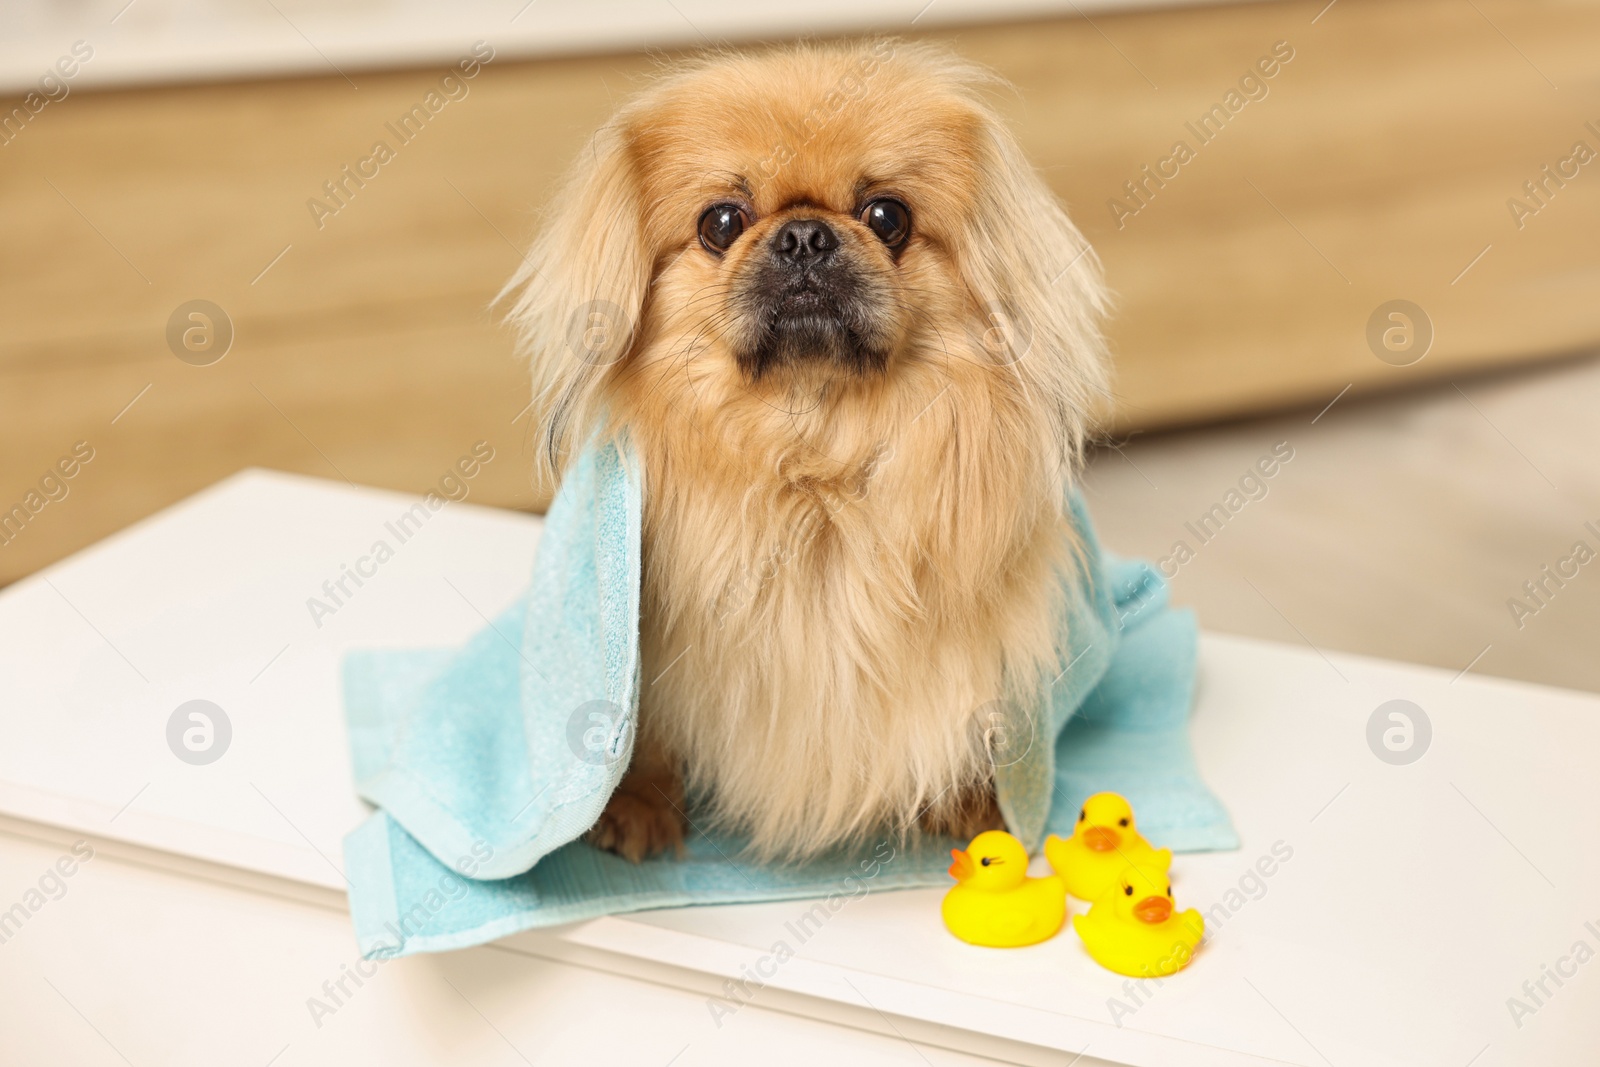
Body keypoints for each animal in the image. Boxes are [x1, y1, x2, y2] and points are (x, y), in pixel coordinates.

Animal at [512, 41, 1113, 863]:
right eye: (721, 221)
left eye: (886, 215)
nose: (803, 235)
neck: (813, 462)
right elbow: (643, 730)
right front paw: (635, 805)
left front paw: (972, 799)